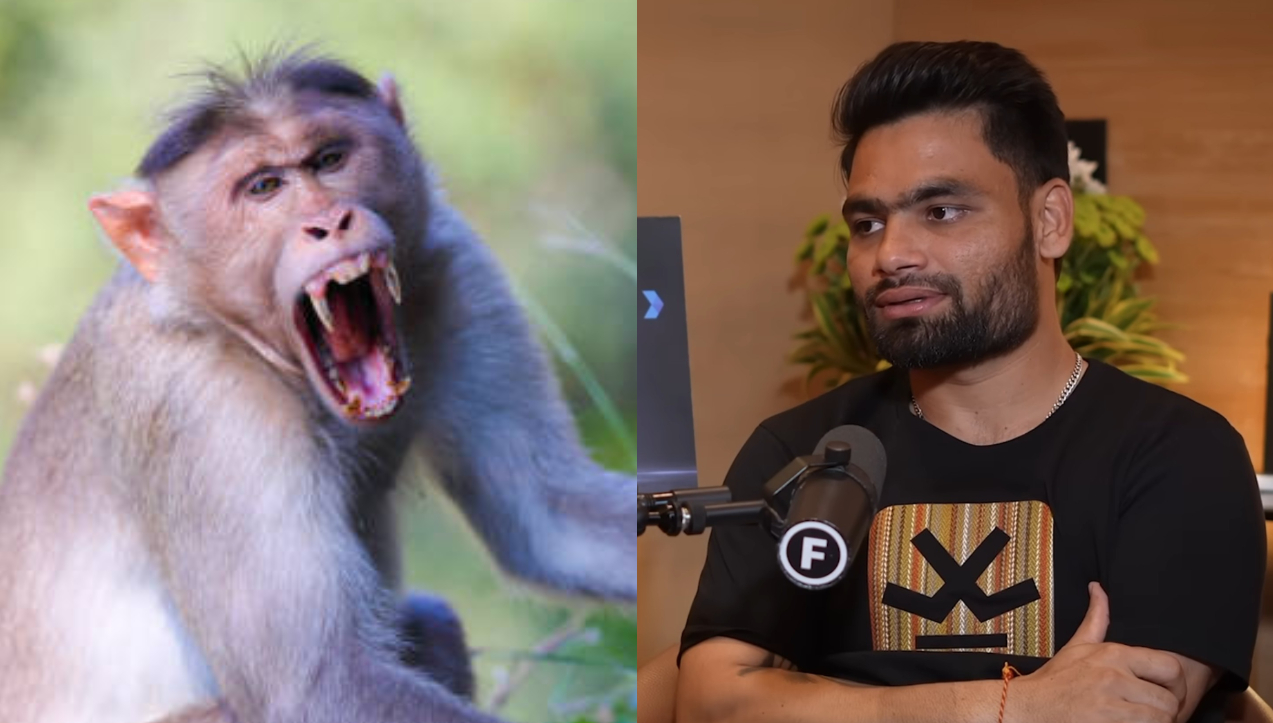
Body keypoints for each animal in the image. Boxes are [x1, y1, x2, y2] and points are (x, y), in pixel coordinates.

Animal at [0, 50, 635, 723]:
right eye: (264, 187)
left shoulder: (454, 263)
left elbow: (547, 517)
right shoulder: (203, 404)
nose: (330, 222)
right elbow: (321, 685)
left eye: (329, 159)